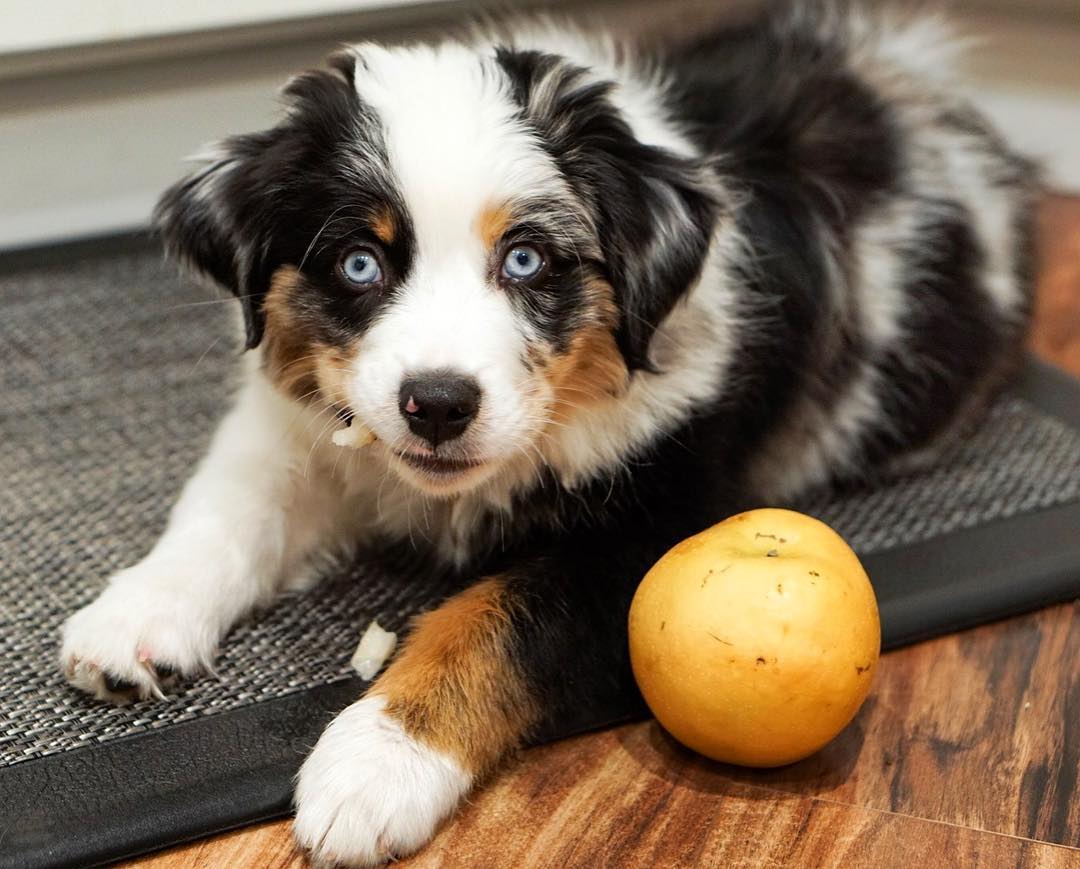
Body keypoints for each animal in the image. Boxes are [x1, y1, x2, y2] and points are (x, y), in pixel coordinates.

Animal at [61, 3, 1036, 863]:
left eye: (526, 259)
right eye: (359, 263)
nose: (437, 403)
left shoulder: (657, 515)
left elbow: (495, 621)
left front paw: (375, 763)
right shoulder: (305, 427)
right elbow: (229, 505)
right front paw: (137, 615)